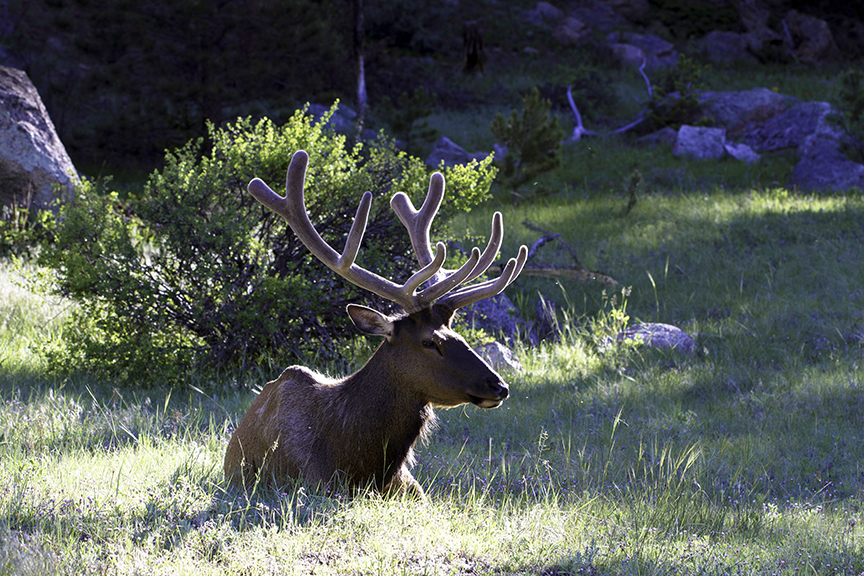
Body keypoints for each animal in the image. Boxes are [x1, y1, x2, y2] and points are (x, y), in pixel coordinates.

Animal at [223, 150, 528, 498]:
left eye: (457, 335)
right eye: (429, 341)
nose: (499, 386)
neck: (358, 460)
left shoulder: (413, 489)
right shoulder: (313, 484)